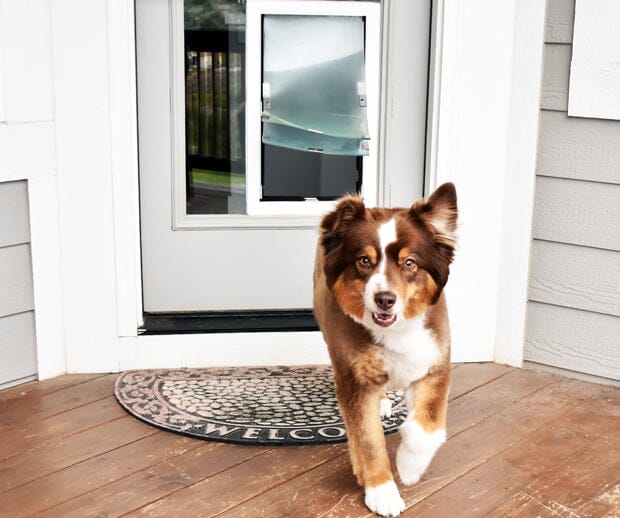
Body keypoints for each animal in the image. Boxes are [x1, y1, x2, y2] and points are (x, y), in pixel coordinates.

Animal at [314, 183, 456, 516]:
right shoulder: (354, 381)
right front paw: (382, 491)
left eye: (409, 263)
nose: (385, 299)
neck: (396, 331)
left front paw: (410, 467)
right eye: (364, 260)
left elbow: (427, 428)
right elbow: (368, 441)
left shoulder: (436, 364)